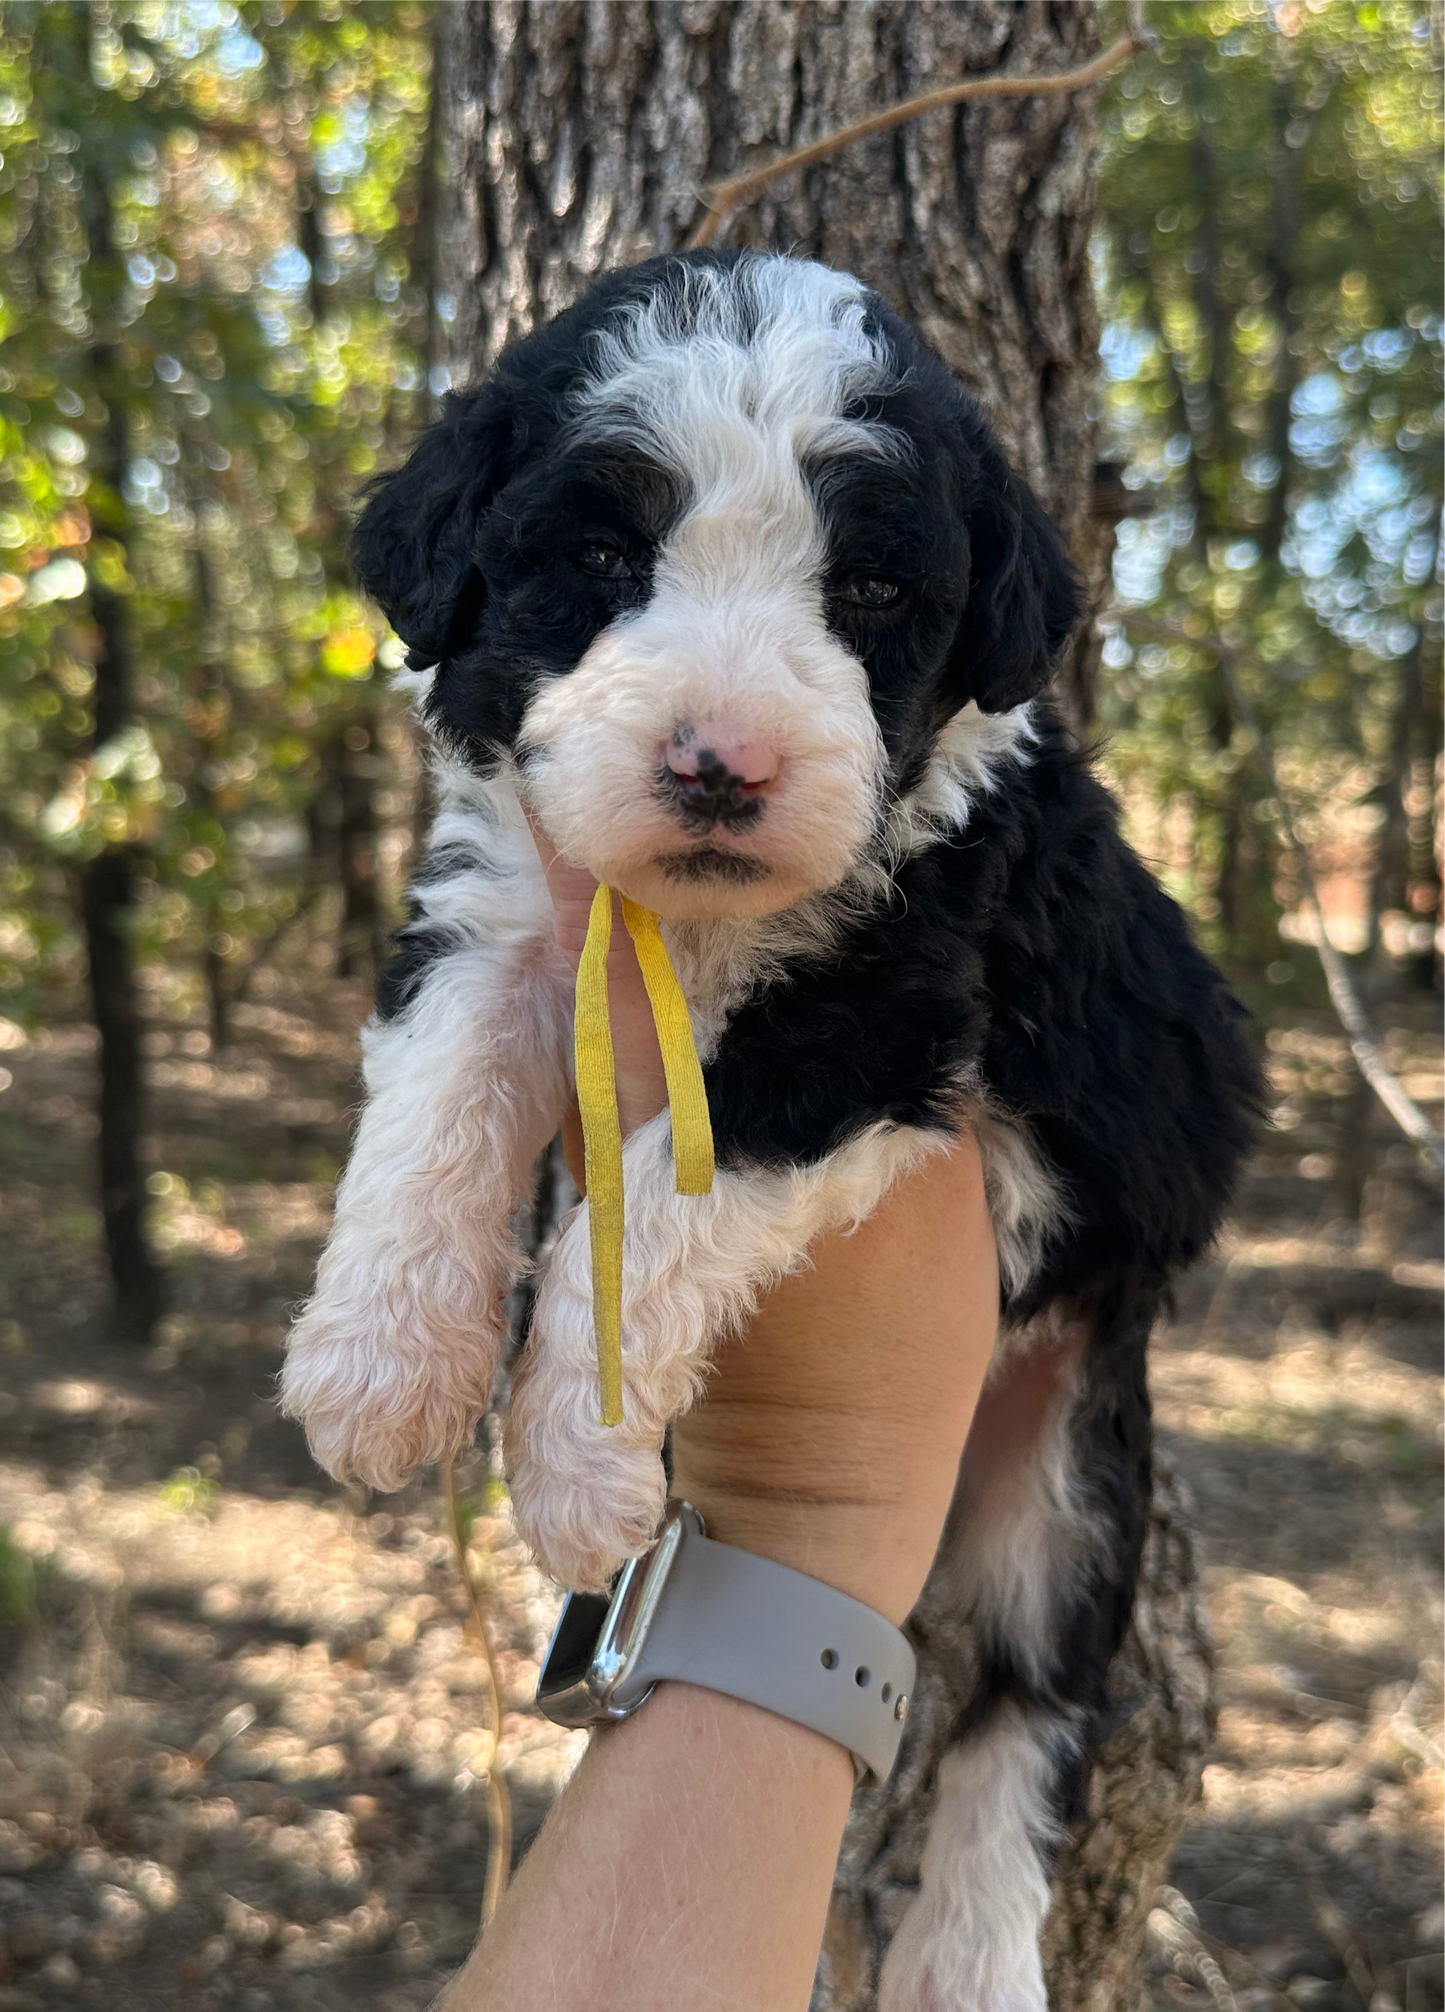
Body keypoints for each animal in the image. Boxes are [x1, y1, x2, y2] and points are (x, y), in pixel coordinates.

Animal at [283, 251, 1271, 2012]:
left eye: (867, 589)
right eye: (603, 557)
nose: (719, 766)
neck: (689, 924)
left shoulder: (882, 1021)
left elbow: (656, 1207)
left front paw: (574, 1456)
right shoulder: (500, 917)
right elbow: (435, 1103)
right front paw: (379, 1362)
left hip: (1076, 1469)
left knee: (1032, 1712)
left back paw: (969, 1953)